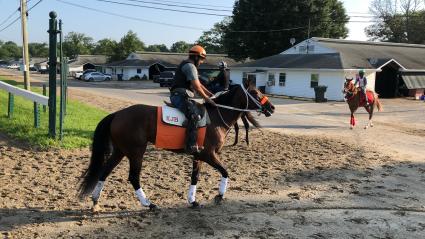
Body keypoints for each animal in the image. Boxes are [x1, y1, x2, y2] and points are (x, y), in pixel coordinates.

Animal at [78, 82, 274, 211]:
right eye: (255, 93)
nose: (271, 107)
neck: (215, 118)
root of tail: (118, 114)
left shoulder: (198, 156)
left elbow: (195, 178)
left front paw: (193, 200)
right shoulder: (209, 155)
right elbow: (225, 172)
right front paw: (219, 195)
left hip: (120, 152)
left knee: (104, 172)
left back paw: (95, 201)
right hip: (136, 152)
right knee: (133, 177)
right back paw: (148, 204)